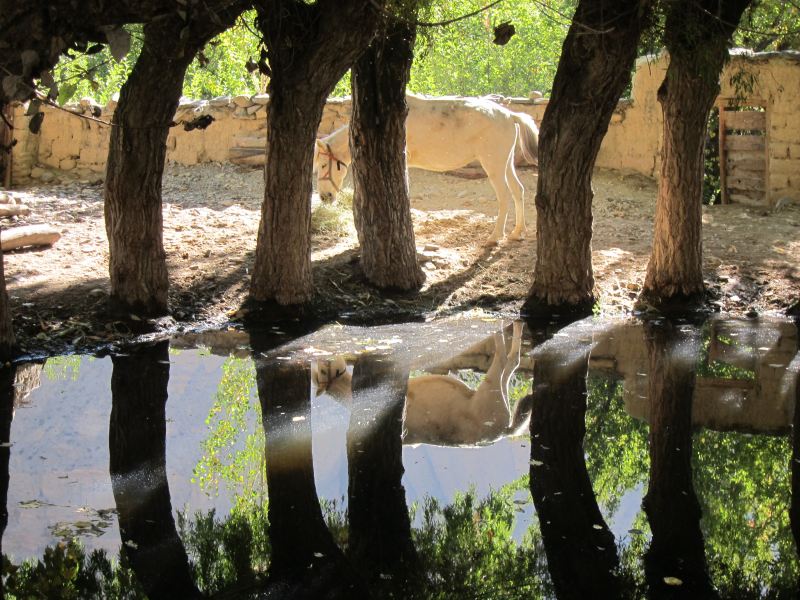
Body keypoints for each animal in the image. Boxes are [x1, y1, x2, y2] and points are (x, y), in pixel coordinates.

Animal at [312, 92, 536, 245]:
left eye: (323, 165)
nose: (324, 197)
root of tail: (510, 115)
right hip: (506, 163)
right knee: (518, 191)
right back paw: (518, 232)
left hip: (494, 166)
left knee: (505, 196)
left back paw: (495, 236)